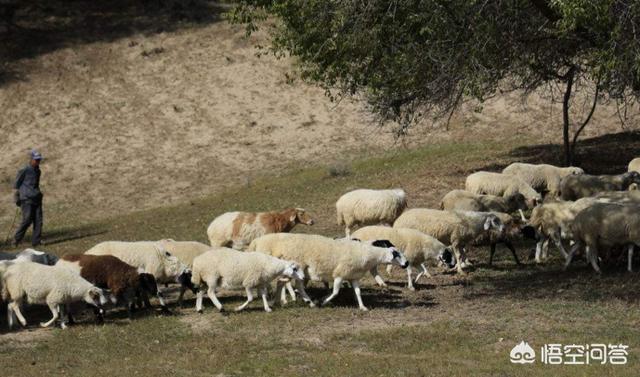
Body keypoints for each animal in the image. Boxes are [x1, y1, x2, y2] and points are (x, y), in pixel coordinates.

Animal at [248, 234, 408, 310]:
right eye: (396, 254)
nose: (406, 264)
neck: (366, 253)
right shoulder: (340, 274)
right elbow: (335, 292)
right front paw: (324, 301)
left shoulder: (353, 276)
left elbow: (358, 292)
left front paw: (362, 307)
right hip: (299, 268)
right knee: (294, 285)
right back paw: (308, 301)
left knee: (283, 283)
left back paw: (280, 301)